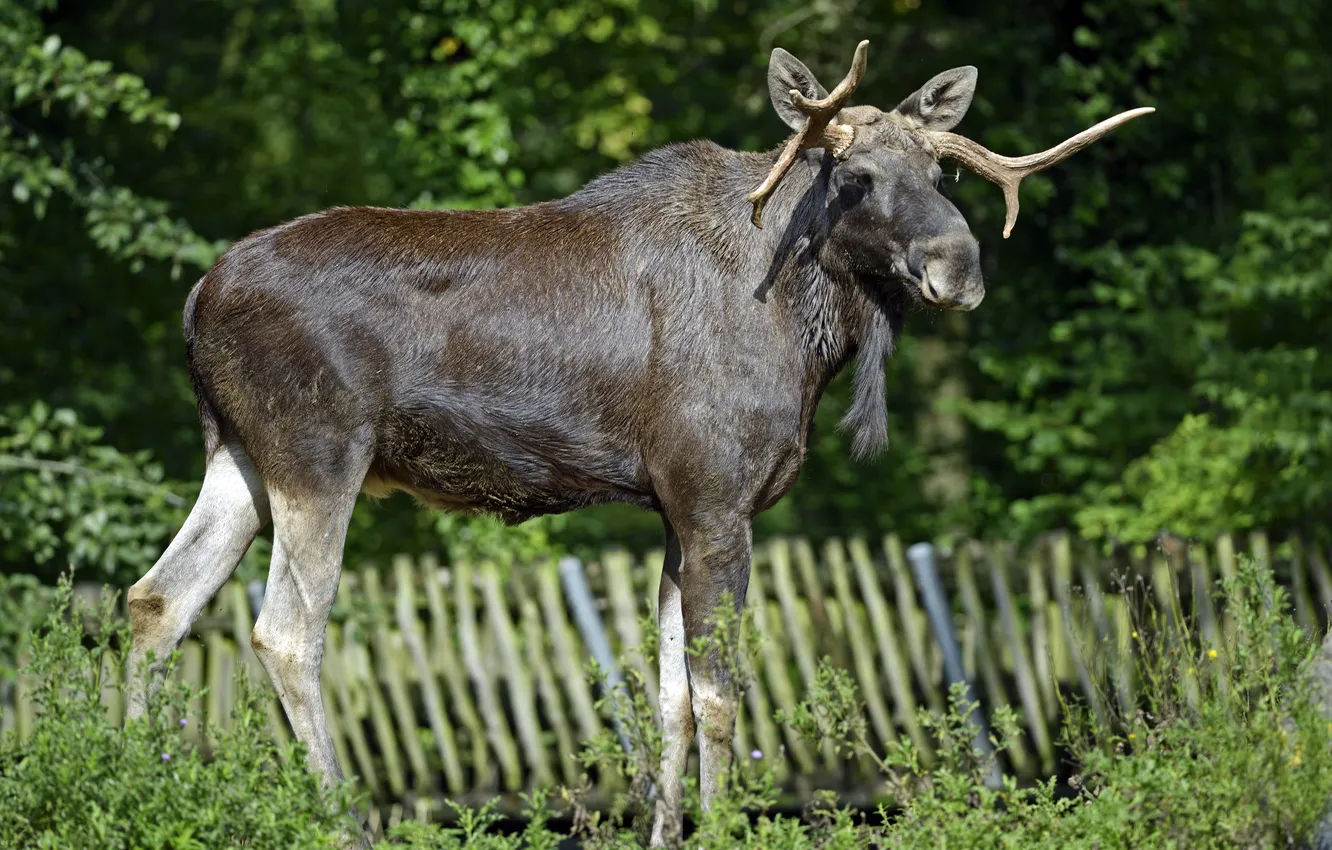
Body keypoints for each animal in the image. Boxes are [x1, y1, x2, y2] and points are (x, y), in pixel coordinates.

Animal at [123, 40, 1150, 847]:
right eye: (853, 178)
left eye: (942, 176)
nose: (957, 266)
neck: (806, 329)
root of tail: (194, 301)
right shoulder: (717, 497)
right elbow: (722, 693)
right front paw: (727, 826)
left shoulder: (673, 506)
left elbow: (669, 698)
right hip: (318, 454)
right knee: (284, 631)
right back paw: (342, 823)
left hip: (238, 460)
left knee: (154, 603)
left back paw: (135, 785)